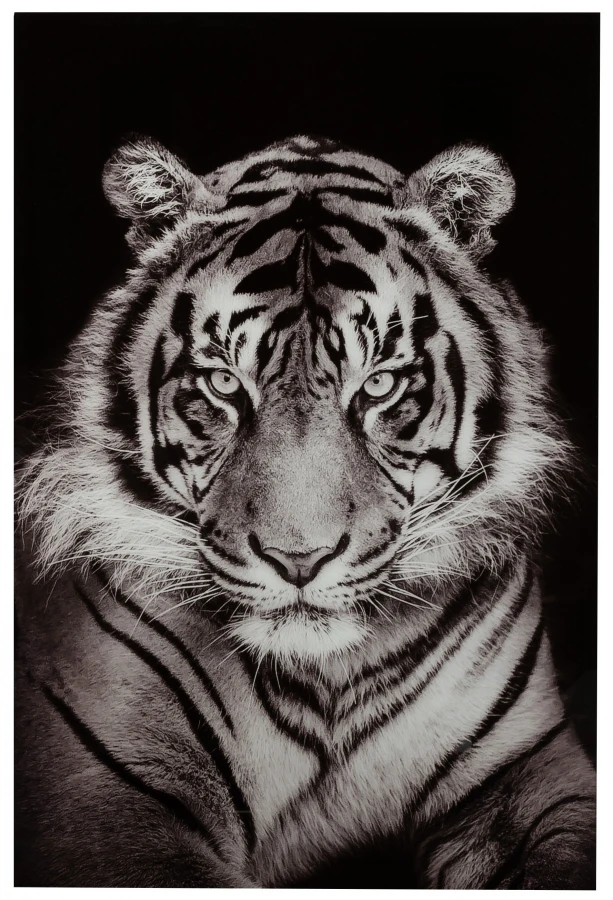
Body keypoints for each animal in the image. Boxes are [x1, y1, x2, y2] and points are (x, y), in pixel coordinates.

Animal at [15, 134, 596, 889]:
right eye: (222, 383)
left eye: (378, 385)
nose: (299, 560)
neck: (329, 682)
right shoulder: (108, 804)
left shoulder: (533, 768)